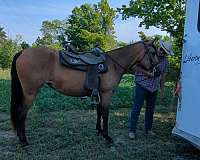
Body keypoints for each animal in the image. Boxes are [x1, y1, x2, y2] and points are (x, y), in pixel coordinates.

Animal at [10, 41, 159, 145]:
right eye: (152, 52)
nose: (157, 70)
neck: (113, 64)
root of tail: (22, 52)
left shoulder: (99, 94)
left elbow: (99, 112)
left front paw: (99, 131)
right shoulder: (106, 94)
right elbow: (105, 114)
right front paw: (107, 136)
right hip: (30, 93)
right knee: (22, 113)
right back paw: (23, 140)